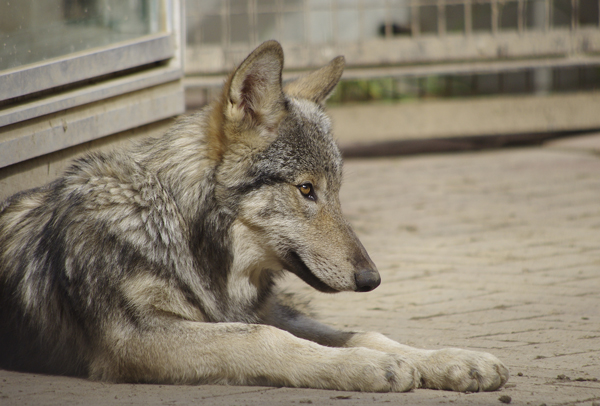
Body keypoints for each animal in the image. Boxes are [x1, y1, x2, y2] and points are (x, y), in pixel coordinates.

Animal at [0, 41, 508, 394]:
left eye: (337, 192)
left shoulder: (263, 310)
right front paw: (367, 368)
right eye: (306, 190)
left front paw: (453, 360)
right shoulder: (139, 339)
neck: (179, 233)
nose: (372, 279)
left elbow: (366, 333)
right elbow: (264, 339)